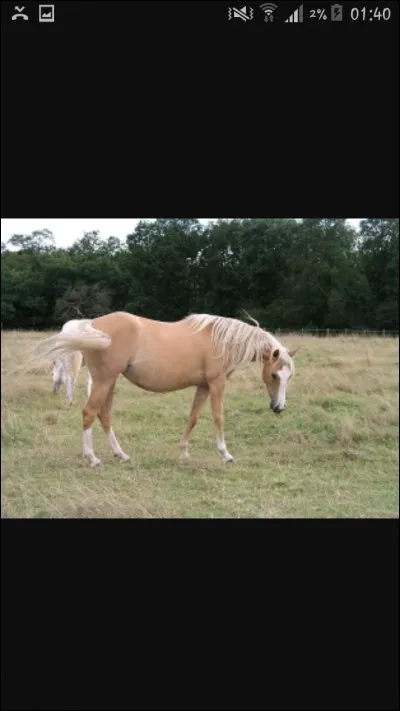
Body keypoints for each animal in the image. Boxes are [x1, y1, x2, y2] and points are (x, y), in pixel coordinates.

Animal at [38, 311, 299, 467]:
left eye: (289, 376)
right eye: (274, 375)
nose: (279, 407)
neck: (221, 341)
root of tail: (92, 325)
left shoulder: (203, 386)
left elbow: (193, 417)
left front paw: (184, 452)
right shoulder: (217, 384)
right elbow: (218, 417)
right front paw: (225, 454)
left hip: (109, 382)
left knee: (104, 415)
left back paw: (120, 454)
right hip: (103, 380)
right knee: (89, 413)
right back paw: (92, 458)